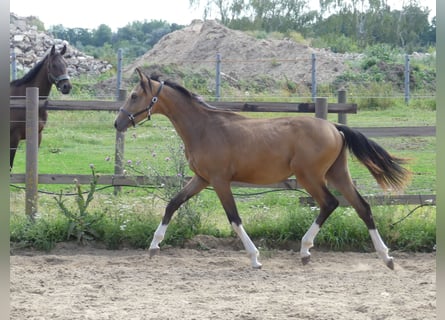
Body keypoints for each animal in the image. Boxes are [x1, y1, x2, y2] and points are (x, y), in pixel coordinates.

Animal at [113, 68, 410, 270]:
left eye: (134, 95)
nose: (118, 123)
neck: (204, 128)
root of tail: (334, 128)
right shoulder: (201, 179)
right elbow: (173, 203)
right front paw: (154, 246)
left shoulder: (220, 181)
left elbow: (234, 218)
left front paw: (255, 258)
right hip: (337, 174)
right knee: (362, 207)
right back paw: (386, 257)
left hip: (310, 177)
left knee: (329, 204)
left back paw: (305, 250)